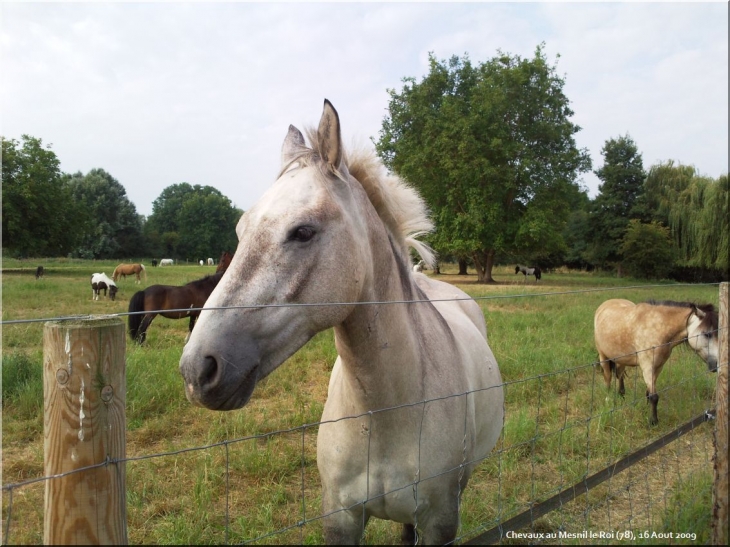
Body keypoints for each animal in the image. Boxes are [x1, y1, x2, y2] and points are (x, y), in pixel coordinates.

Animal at [179, 99, 504, 544]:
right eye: (241, 230)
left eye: (303, 231)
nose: (198, 369)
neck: (385, 416)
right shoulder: (339, 516)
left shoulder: (440, 520)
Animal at [592, 298, 716, 426]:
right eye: (707, 334)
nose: (716, 365)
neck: (656, 329)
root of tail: (605, 304)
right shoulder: (647, 368)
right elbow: (654, 397)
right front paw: (653, 421)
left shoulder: (658, 367)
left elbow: (649, 394)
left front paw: (647, 410)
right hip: (603, 357)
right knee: (608, 378)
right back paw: (608, 399)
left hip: (620, 358)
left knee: (620, 375)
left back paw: (622, 395)